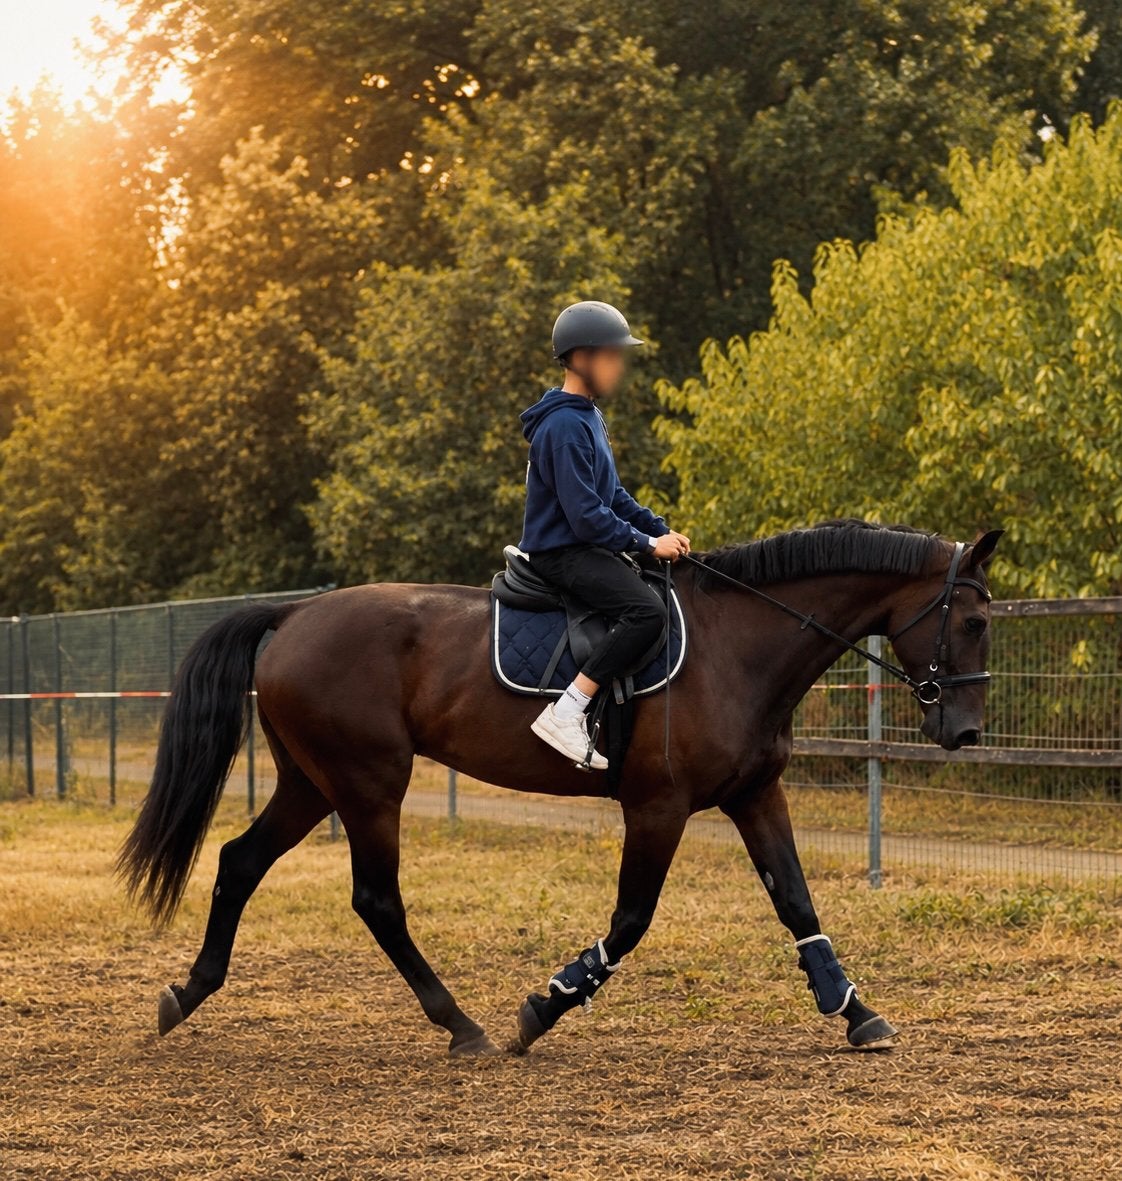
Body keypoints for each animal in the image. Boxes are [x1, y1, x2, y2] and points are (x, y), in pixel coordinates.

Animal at [119, 520, 1002, 1057]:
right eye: (974, 622)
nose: (966, 732)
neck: (738, 645)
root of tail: (295, 613)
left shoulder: (755, 794)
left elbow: (796, 900)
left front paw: (855, 1010)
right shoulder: (658, 808)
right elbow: (632, 918)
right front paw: (544, 1005)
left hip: (313, 782)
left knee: (239, 862)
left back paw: (186, 994)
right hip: (368, 784)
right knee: (375, 899)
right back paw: (461, 1023)